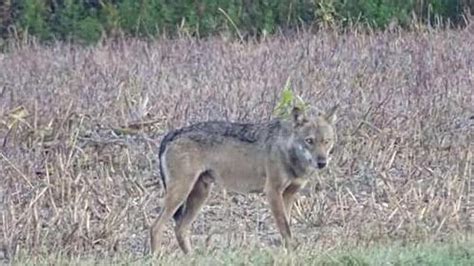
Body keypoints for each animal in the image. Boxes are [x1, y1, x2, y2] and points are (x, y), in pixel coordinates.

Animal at [150, 104, 338, 254]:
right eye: (309, 141)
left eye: (326, 141)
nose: (322, 162)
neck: (288, 150)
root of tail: (174, 132)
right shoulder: (273, 192)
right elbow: (285, 227)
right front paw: (292, 253)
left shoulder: (289, 194)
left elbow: (287, 227)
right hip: (181, 193)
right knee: (156, 226)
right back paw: (157, 257)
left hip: (200, 195)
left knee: (180, 228)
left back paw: (192, 257)